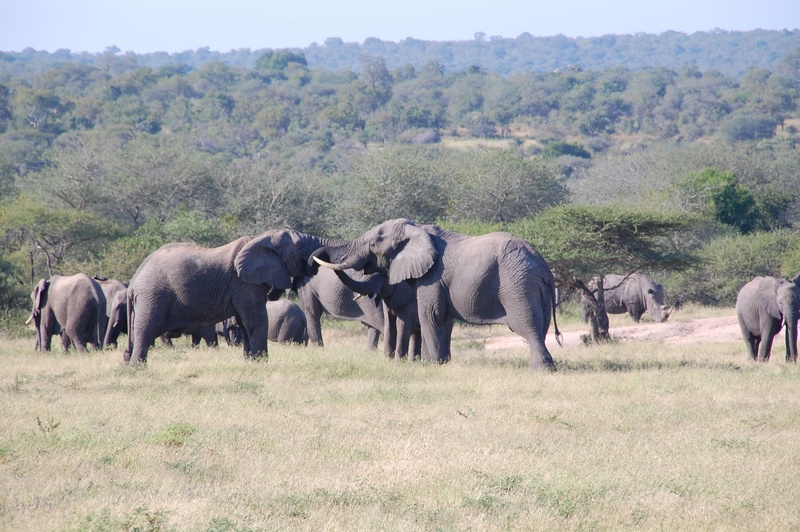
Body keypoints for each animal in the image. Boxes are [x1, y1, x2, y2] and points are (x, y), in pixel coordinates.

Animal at [125, 229, 344, 363]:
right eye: (300, 245)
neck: (259, 239)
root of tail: (133, 284)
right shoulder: (245, 283)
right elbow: (256, 320)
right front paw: (261, 362)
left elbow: (244, 323)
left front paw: (250, 361)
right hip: (153, 296)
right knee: (146, 330)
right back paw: (138, 367)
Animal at [316, 218, 561, 370]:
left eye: (374, 245)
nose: (318, 253)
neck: (417, 228)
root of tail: (543, 268)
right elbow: (440, 318)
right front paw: (441, 363)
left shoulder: (433, 276)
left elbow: (430, 315)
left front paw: (432, 364)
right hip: (533, 287)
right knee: (541, 326)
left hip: (518, 285)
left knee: (527, 325)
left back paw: (541, 370)